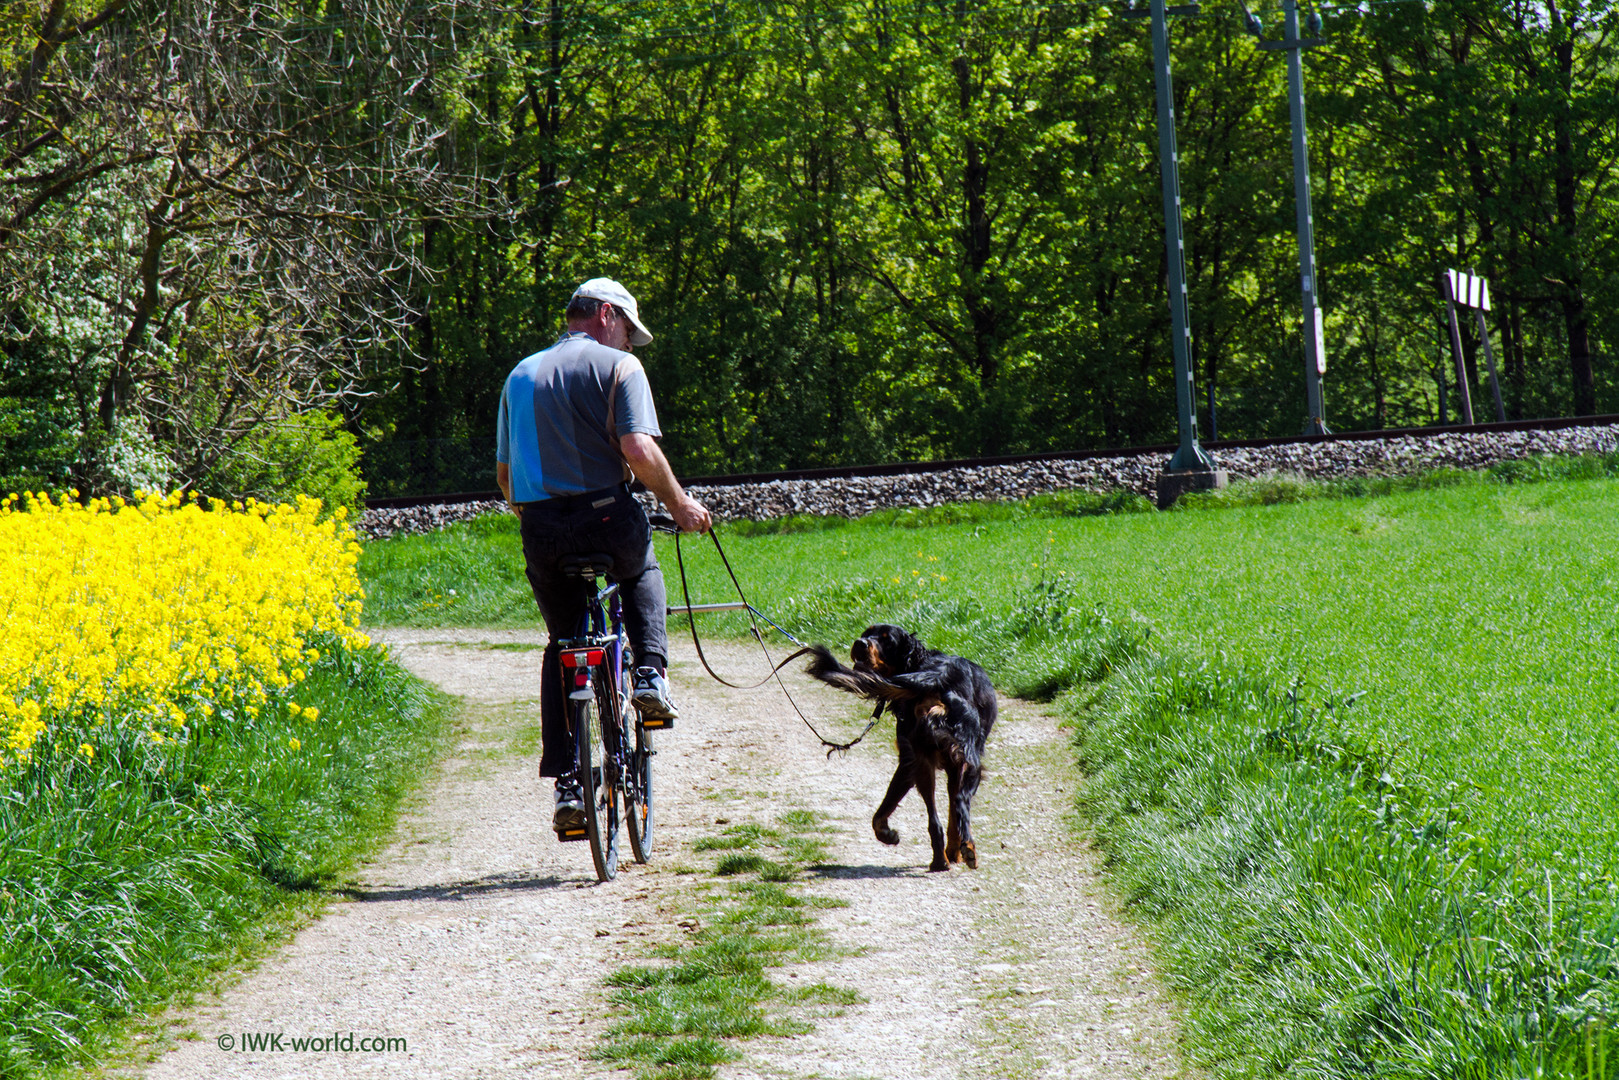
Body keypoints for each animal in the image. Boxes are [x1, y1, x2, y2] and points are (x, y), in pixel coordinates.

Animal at [803, 625, 990, 867]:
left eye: (887, 641)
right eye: (867, 633)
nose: (860, 643)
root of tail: (939, 674)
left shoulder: (908, 761)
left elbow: (883, 810)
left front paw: (886, 833)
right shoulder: (953, 766)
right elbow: (953, 815)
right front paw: (954, 851)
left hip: (922, 762)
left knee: (934, 820)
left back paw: (939, 861)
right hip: (968, 763)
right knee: (960, 803)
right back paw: (966, 850)